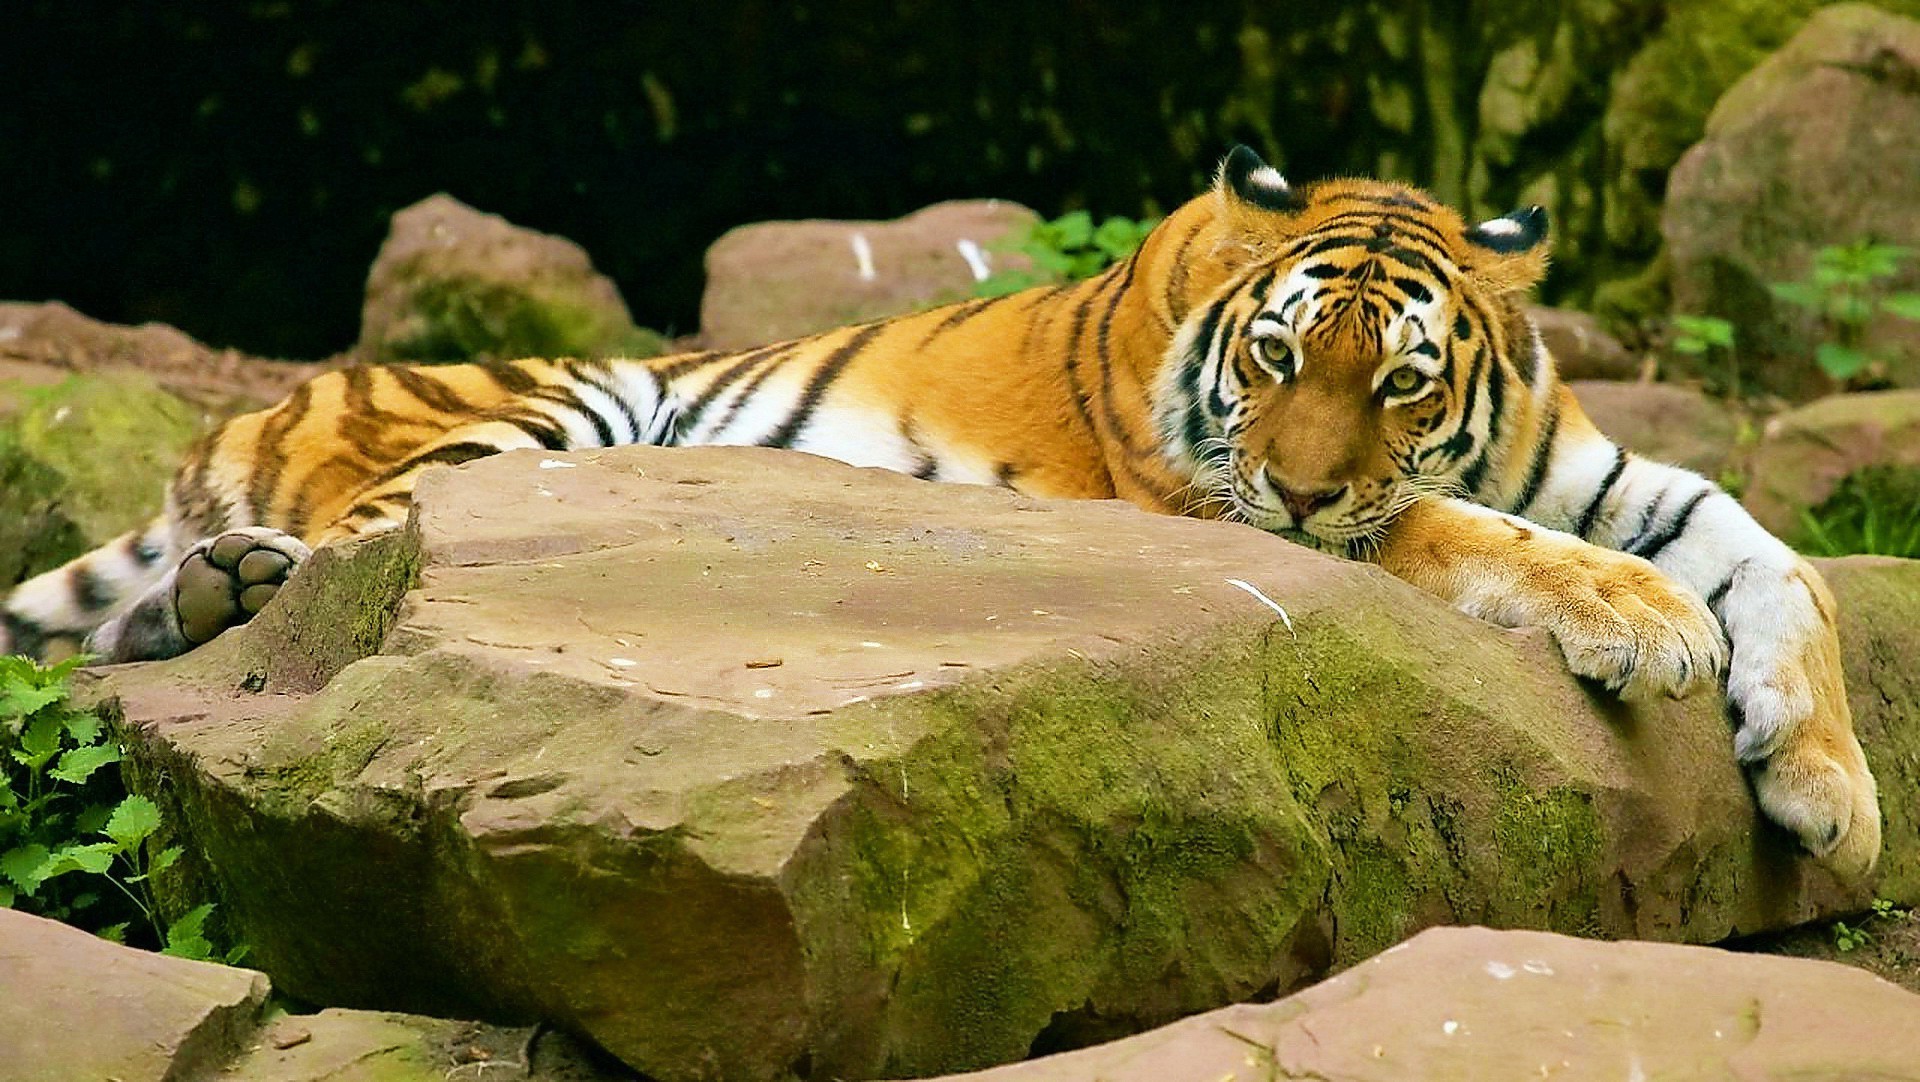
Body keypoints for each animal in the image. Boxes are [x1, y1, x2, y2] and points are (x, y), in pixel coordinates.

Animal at [0, 145, 1881, 878]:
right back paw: (247, 581)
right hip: (545, 416)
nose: (1297, 473)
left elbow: (1785, 566)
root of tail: (249, 404)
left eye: (1403, 380)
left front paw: (1833, 795)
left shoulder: (1599, 469)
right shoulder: (1225, 501)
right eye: (1277, 357)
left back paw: (213, 590)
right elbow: (1456, 541)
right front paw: (1642, 622)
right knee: (355, 556)